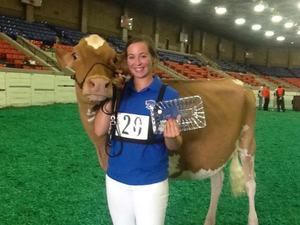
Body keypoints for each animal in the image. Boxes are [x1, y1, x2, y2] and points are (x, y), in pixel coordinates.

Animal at [55, 34, 258, 224]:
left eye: (113, 59)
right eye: (75, 55)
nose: (98, 83)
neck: (100, 145)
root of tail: (237, 83)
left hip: (248, 140)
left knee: (250, 183)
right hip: (218, 150)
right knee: (217, 180)